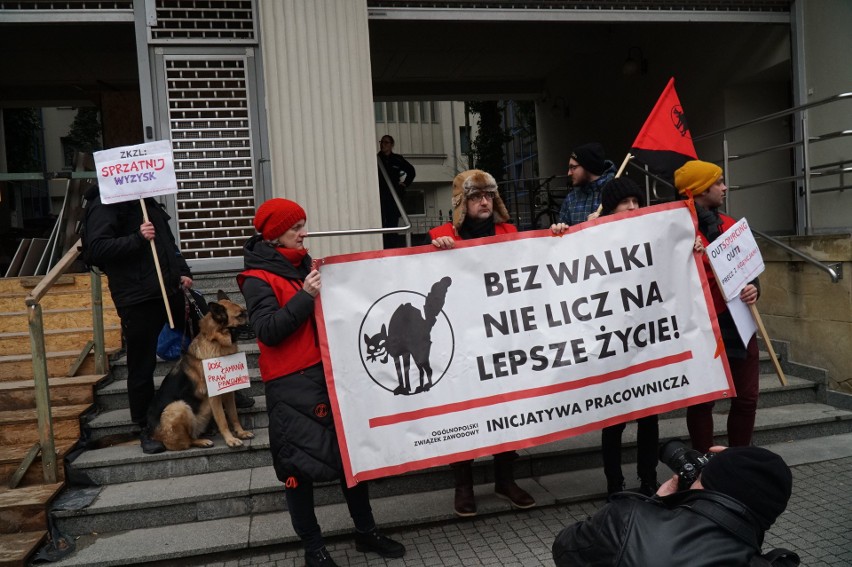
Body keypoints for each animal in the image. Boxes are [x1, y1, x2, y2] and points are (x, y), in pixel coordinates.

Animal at [146, 290, 255, 450]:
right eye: (240, 315)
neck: (216, 341)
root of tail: (153, 434)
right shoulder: (215, 396)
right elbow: (223, 420)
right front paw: (230, 439)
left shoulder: (228, 392)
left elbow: (233, 415)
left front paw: (240, 432)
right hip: (178, 406)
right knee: (186, 441)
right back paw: (201, 442)